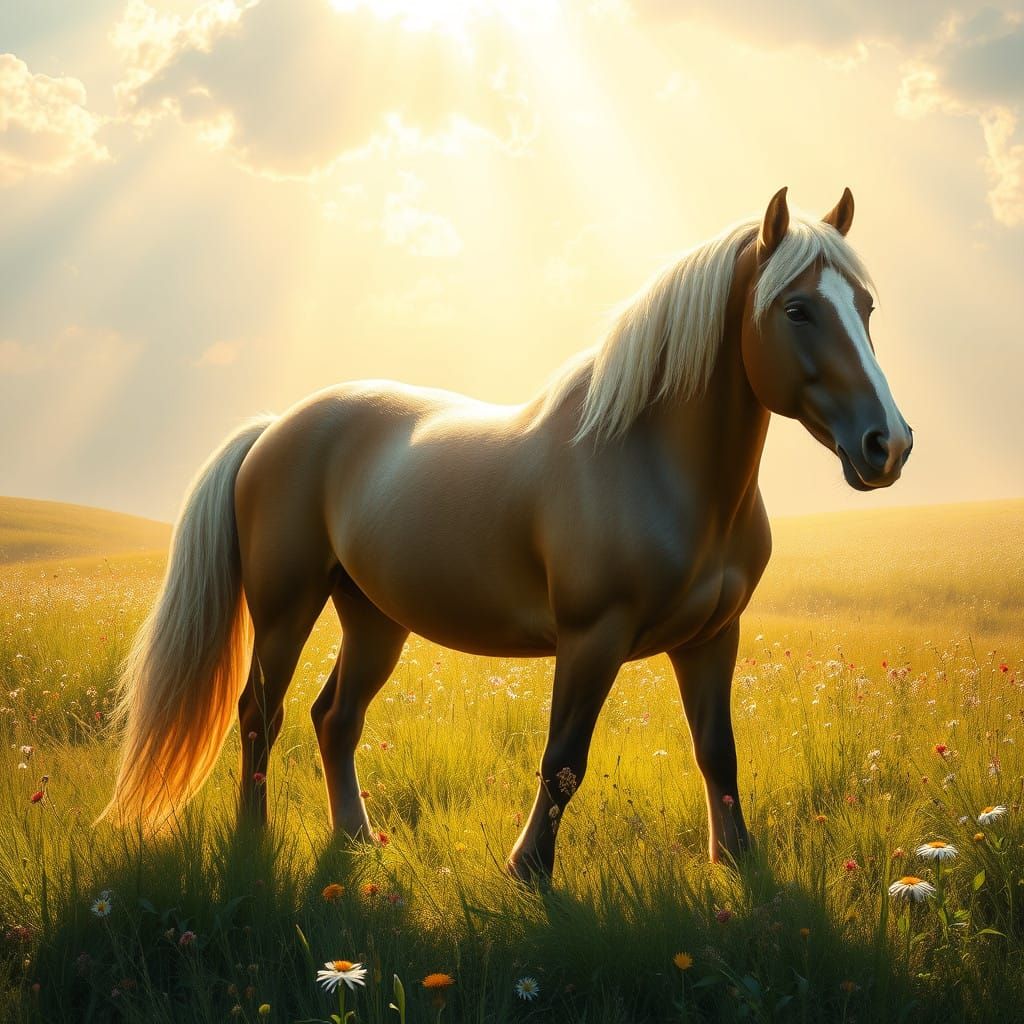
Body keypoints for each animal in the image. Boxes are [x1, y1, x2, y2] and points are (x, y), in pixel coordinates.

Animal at [103, 187, 912, 879]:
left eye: (867, 306)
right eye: (797, 308)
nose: (888, 445)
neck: (653, 463)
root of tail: (275, 428)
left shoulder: (713, 637)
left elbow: (718, 753)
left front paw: (737, 863)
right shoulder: (592, 638)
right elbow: (564, 761)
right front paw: (529, 871)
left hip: (373, 619)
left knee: (335, 719)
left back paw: (358, 840)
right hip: (284, 608)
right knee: (258, 716)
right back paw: (254, 842)